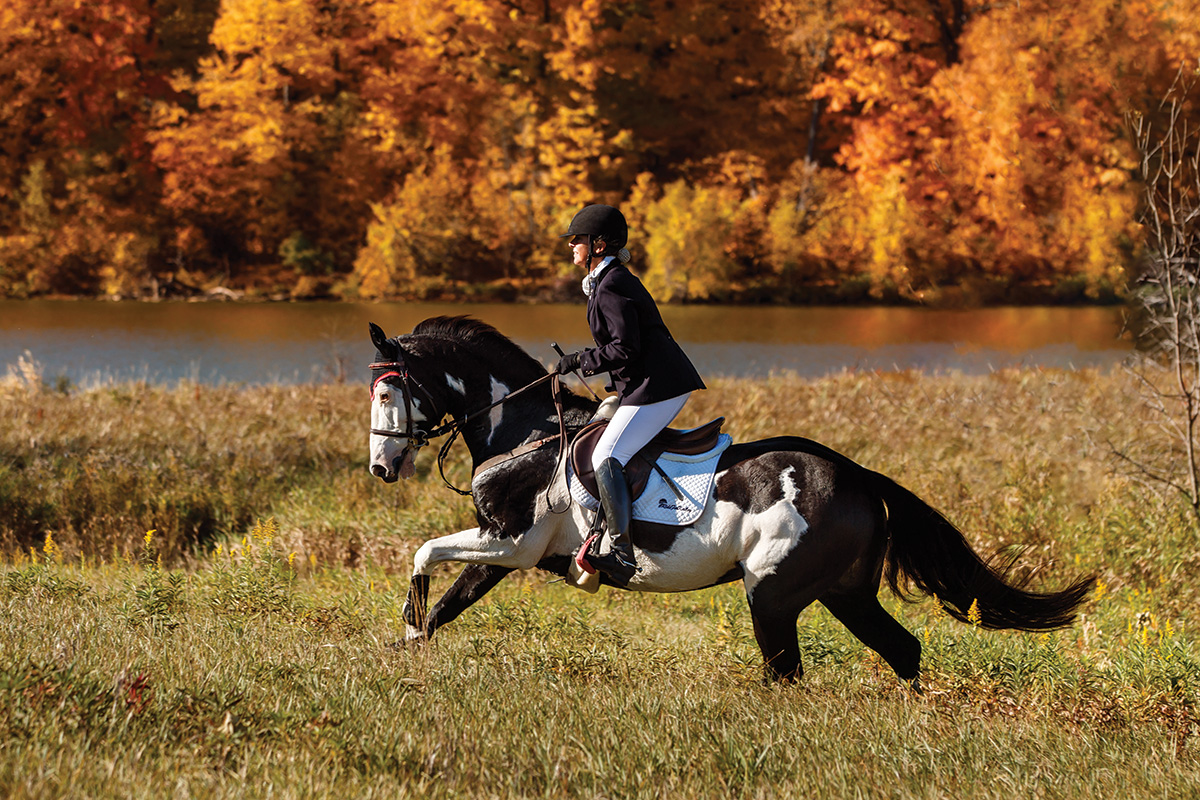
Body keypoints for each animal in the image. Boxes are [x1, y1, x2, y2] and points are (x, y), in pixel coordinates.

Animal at [367, 316, 1099, 686]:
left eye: (386, 391)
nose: (381, 466)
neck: (526, 431)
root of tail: (858, 475)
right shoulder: (503, 554)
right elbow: (445, 601)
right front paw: (408, 647)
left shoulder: (510, 545)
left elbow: (425, 554)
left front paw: (405, 628)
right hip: (844, 591)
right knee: (902, 649)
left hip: (772, 594)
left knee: (789, 673)